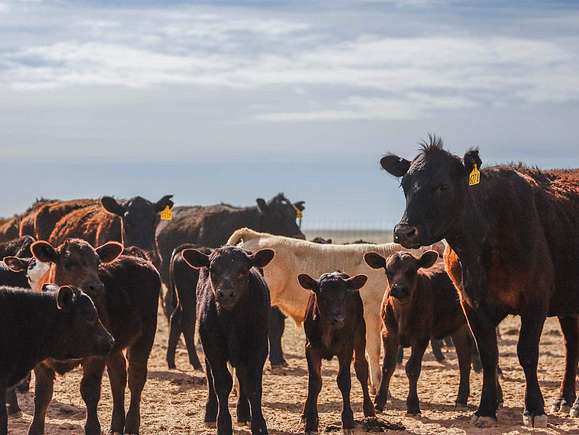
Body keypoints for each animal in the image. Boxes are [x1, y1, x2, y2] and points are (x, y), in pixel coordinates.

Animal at [184, 247, 274, 434]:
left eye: (243, 270)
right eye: (213, 270)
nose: (226, 294)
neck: (232, 320)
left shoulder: (259, 346)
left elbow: (253, 384)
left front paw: (259, 425)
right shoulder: (212, 347)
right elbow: (221, 383)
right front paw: (223, 424)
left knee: (242, 376)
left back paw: (244, 413)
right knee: (210, 378)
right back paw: (210, 413)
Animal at [296, 272, 374, 432]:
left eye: (344, 296)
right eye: (323, 296)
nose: (338, 319)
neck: (329, 329)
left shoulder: (346, 348)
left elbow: (344, 380)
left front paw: (348, 420)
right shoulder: (311, 348)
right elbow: (314, 382)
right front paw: (311, 421)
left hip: (360, 334)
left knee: (361, 368)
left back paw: (369, 409)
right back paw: (305, 414)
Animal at [380, 137, 579, 430]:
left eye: (442, 186)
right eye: (405, 185)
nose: (404, 232)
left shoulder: (536, 300)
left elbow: (527, 352)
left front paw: (534, 409)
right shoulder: (472, 304)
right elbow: (487, 355)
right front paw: (486, 409)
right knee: (571, 343)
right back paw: (565, 400)